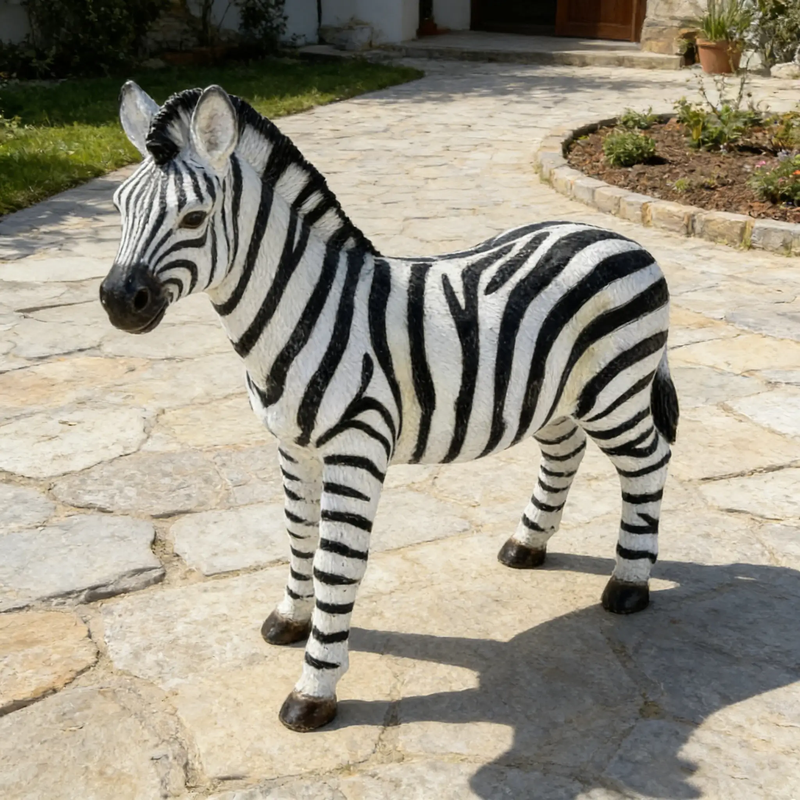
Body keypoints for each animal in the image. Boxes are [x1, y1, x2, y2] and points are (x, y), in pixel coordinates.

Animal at [100, 82, 679, 733]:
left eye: (194, 218)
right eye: (119, 207)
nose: (117, 301)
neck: (304, 310)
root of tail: (622, 239)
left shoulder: (356, 449)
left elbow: (335, 564)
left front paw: (314, 690)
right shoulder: (292, 447)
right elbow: (298, 537)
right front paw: (290, 619)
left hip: (614, 388)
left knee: (648, 462)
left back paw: (629, 583)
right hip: (553, 394)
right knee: (564, 452)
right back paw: (527, 545)